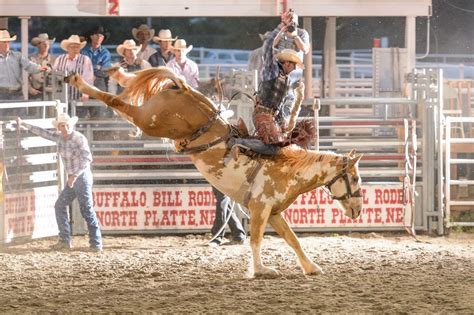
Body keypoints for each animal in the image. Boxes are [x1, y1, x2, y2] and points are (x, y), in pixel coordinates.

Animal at [65, 68, 362, 278]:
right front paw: (260, 270)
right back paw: (80, 81)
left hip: (154, 118)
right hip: (150, 121)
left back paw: (116, 73)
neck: (287, 169)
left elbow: (293, 240)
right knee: (118, 103)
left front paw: (311, 267)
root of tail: (185, 89)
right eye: (356, 177)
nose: (358, 210)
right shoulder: (259, 208)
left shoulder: (273, 212)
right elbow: (256, 240)